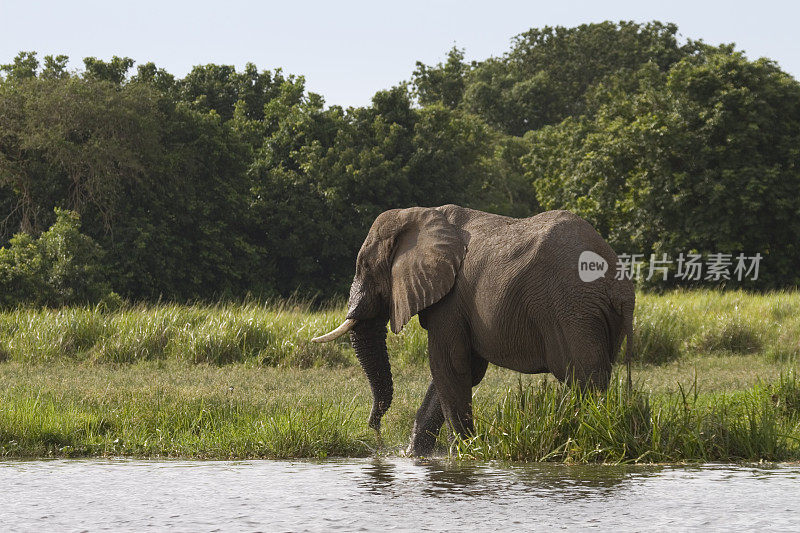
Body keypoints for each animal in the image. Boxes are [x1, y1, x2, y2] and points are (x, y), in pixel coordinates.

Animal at [310, 203, 636, 454]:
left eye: (365, 267)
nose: (375, 432)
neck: (418, 214)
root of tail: (618, 286)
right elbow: (460, 370)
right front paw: (415, 457)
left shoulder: (451, 301)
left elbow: (449, 366)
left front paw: (465, 455)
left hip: (573, 311)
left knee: (584, 381)